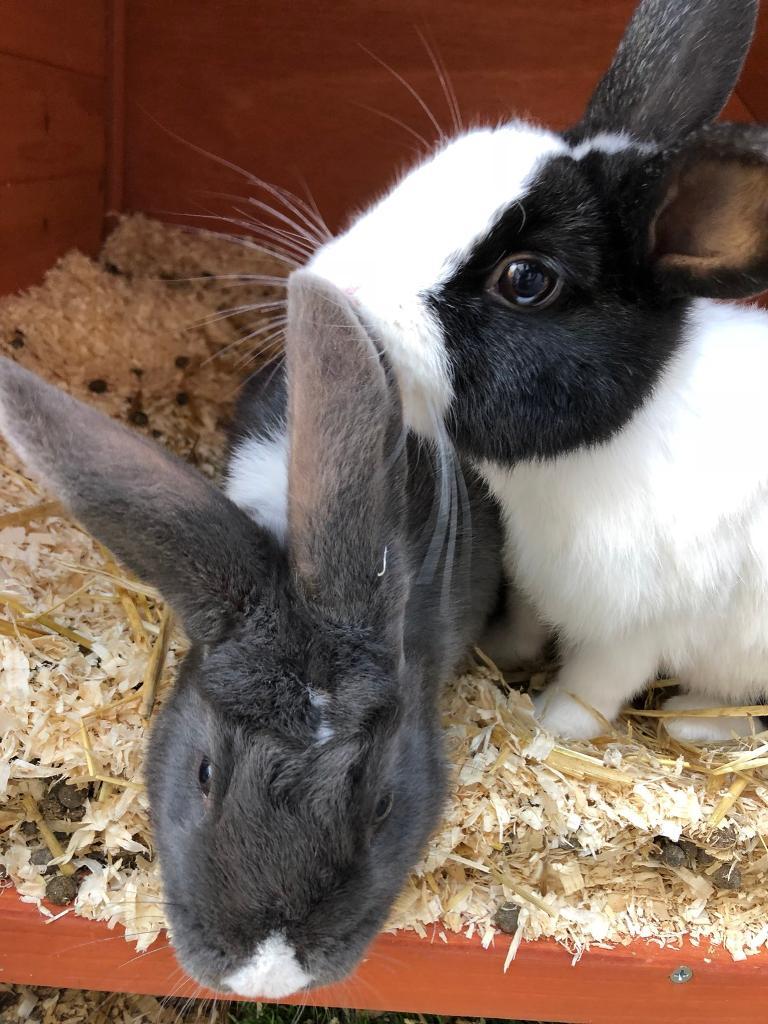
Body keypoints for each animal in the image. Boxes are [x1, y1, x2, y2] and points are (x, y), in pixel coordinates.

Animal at [305, 0, 768, 741]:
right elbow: (526, 621)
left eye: (526, 280)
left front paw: (553, 724)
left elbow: (596, 682)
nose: (335, 288)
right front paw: (500, 652)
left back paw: (694, 722)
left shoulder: (634, 626)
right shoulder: (532, 579)